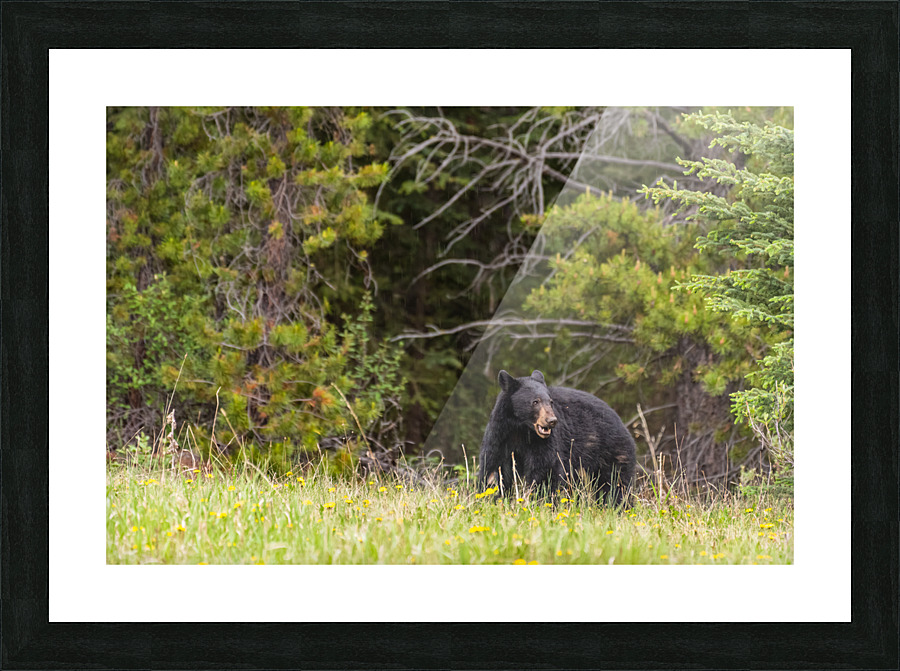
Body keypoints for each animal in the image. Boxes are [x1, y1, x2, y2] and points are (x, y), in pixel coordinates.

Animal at [477, 370, 636, 505]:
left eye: (550, 402)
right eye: (535, 401)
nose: (551, 420)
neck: (521, 429)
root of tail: (620, 421)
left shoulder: (544, 443)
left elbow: (545, 470)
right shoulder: (500, 436)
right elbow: (492, 466)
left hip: (611, 452)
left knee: (615, 484)